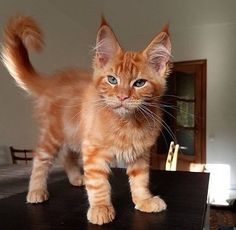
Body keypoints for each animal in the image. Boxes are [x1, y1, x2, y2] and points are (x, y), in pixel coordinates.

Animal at [1, 15, 171, 225]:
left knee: (67, 155)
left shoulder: (139, 153)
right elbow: (98, 183)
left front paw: (144, 200)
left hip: (73, 134)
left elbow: (141, 180)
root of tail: (51, 81)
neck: (127, 122)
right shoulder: (93, 149)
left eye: (139, 83)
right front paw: (100, 208)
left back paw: (76, 178)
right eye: (112, 80)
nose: (122, 97)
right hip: (53, 134)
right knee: (40, 159)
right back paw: (36, 190)